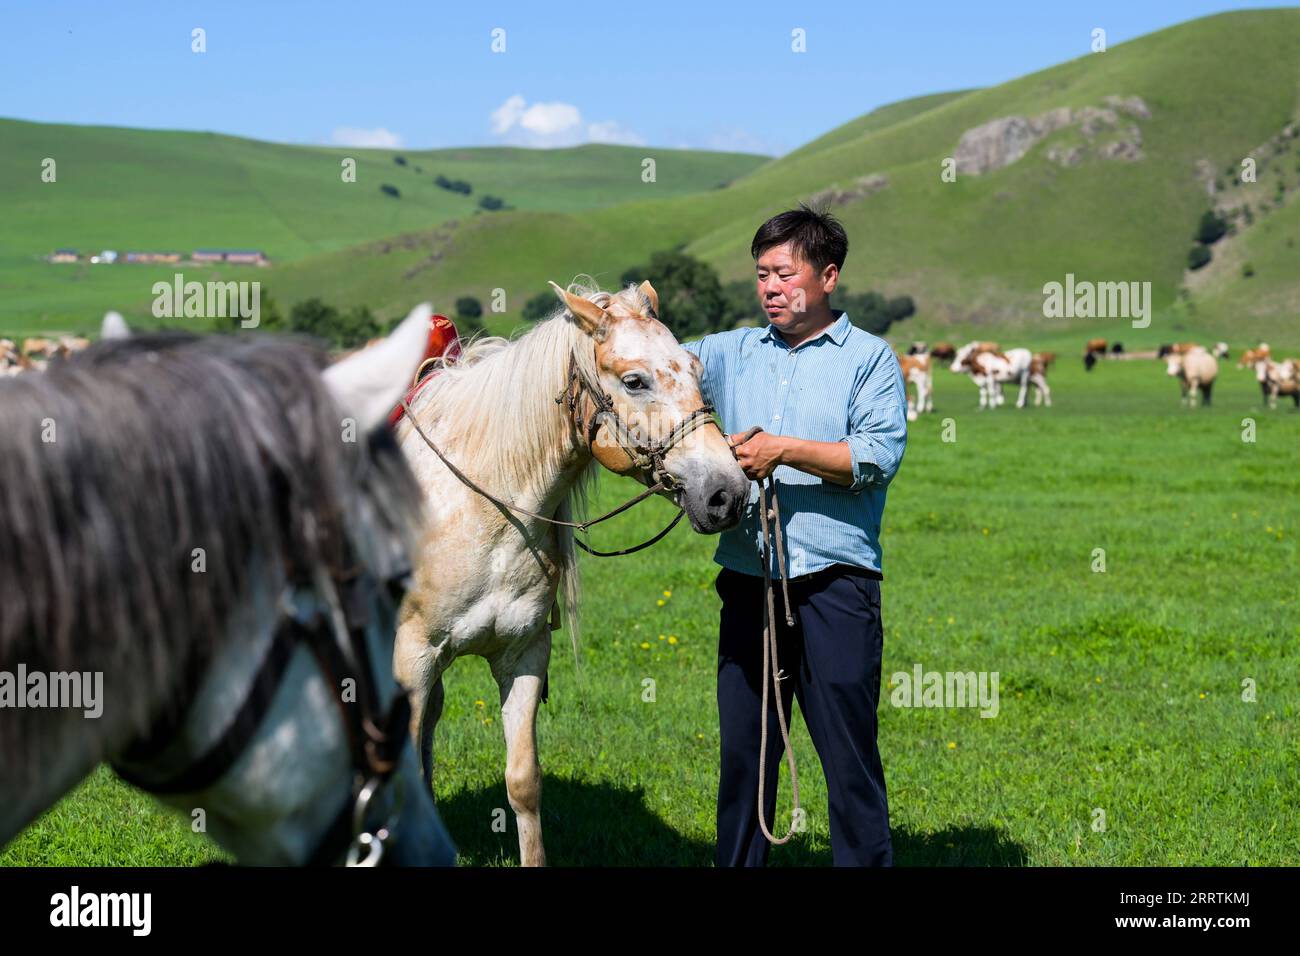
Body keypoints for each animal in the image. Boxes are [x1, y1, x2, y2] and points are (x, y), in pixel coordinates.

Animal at [390, 277, 748, 868]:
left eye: (697, 369)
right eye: (634, 380)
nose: (728, 493)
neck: (484, 506)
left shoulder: (523, 654)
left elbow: (523, 781)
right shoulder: (414, 655)